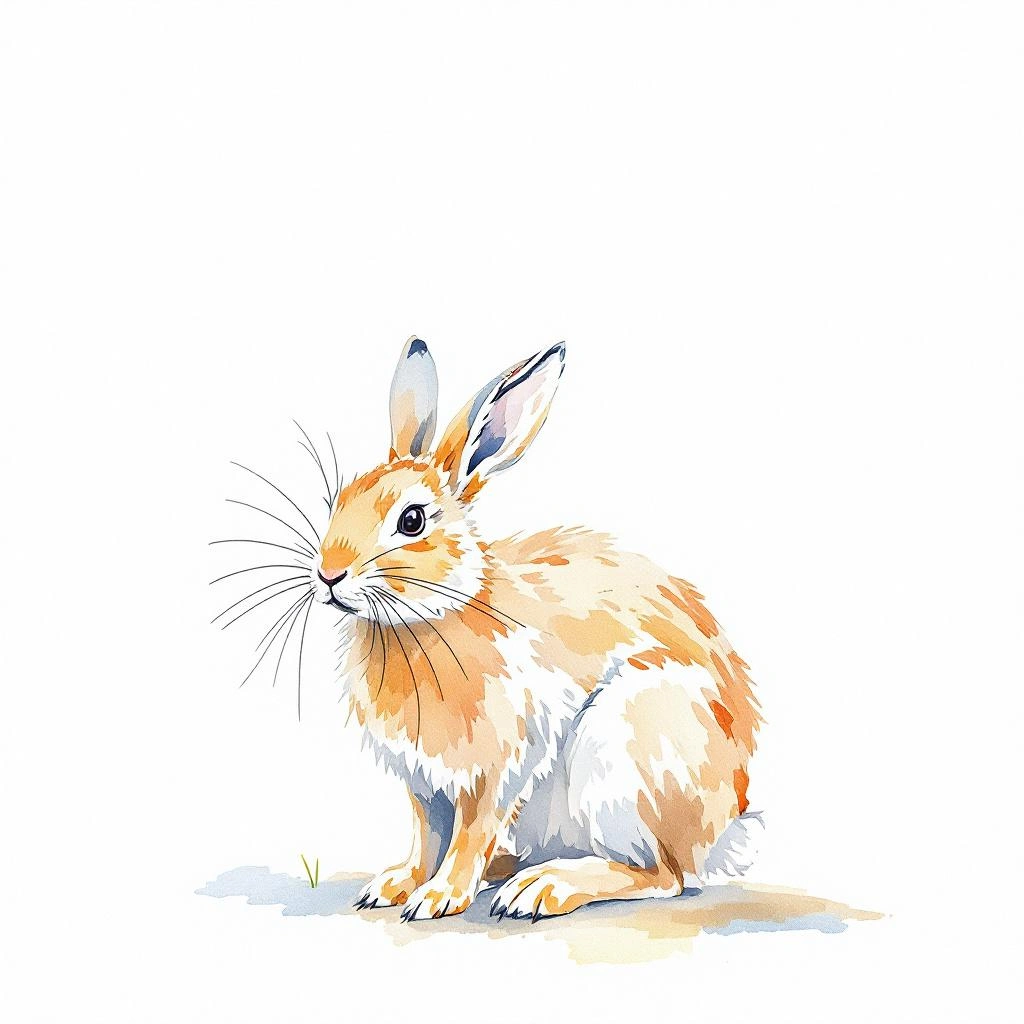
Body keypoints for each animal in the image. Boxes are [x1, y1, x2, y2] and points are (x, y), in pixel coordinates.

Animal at [313, 337, 761, 921]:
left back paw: (541, 889)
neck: (438, 611)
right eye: (337, 502)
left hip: (626, 751)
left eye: (412, 521)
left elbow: (470, 831)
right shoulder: (422, 783)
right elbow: (426, 835)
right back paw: (508, 873)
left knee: (664, 875)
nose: (328, 574)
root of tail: (725, 829)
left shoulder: (500, 765)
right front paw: (394, 886)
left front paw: (437, 897)